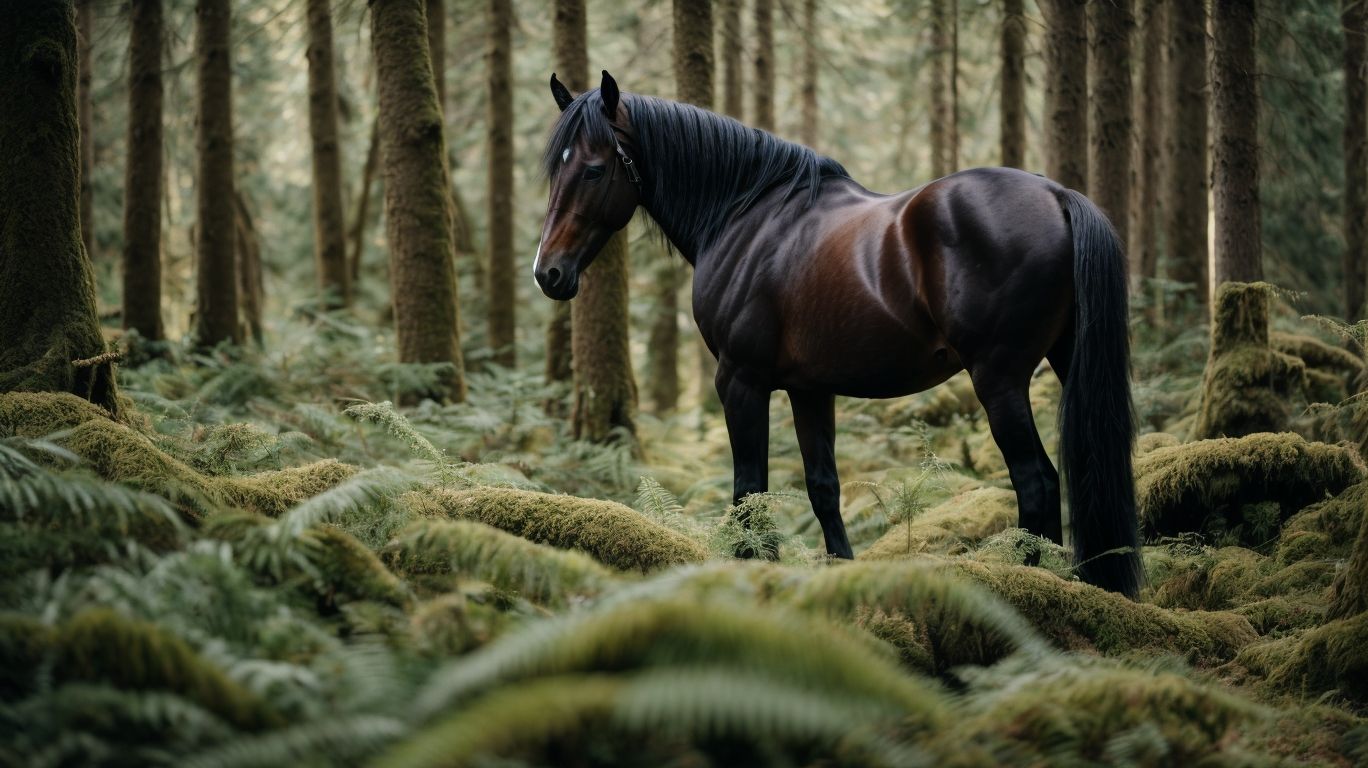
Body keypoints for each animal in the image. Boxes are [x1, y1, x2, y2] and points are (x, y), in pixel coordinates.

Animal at [534, 70, 1143, 598]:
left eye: (593, 169)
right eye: (555, 169)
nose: (548, 273)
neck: (744, 215)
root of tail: (1058, 196)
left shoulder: (741, 380)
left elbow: (749, 490)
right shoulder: (810, 388)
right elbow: (823, 487)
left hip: (999, 378)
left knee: (1036, 480)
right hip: (1063, 358)